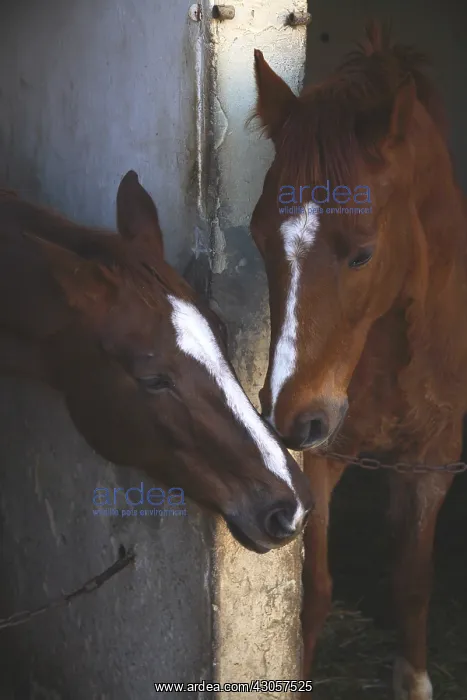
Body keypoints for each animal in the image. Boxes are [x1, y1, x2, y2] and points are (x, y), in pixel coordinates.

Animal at [249, 22, 467, 699]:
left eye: (363, 253)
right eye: (257, 238)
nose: (290, 419)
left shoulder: (434, 460)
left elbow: (413, 581)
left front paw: (414, 680)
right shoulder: (321, 460)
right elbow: (313, 593)